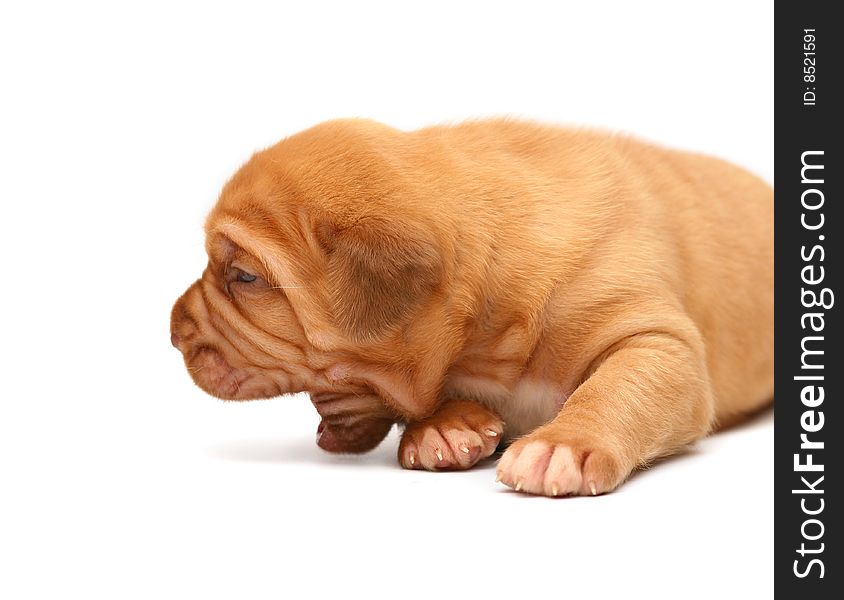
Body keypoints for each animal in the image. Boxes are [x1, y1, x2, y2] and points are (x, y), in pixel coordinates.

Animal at [170, 118, 772, 496]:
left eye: (245, 277)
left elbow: (620, 386)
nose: (173, 331)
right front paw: (444, 426)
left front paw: (564, 444)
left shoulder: (655, 339)